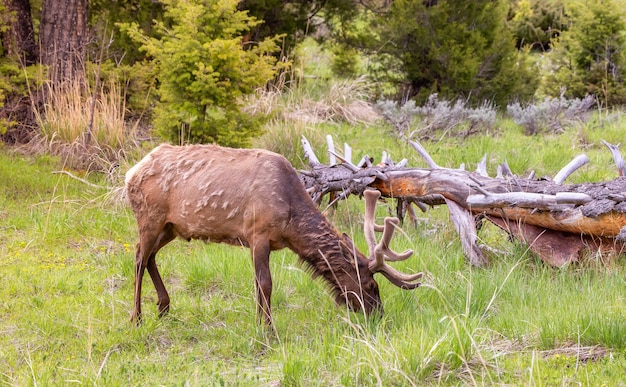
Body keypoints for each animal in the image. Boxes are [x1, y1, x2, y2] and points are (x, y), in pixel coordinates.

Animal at [124, 144, 422, 326]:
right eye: (371, 286)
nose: (379, 315)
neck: (291, 223)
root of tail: (131, 172)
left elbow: (258, 285)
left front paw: (259, 323)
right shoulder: (257, 233)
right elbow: (265, 284)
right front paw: (268, 329)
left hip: (171, 226)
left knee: (149, 257)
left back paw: (163, 306)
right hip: (149, 217)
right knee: (138, 257)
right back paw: (136, 317)